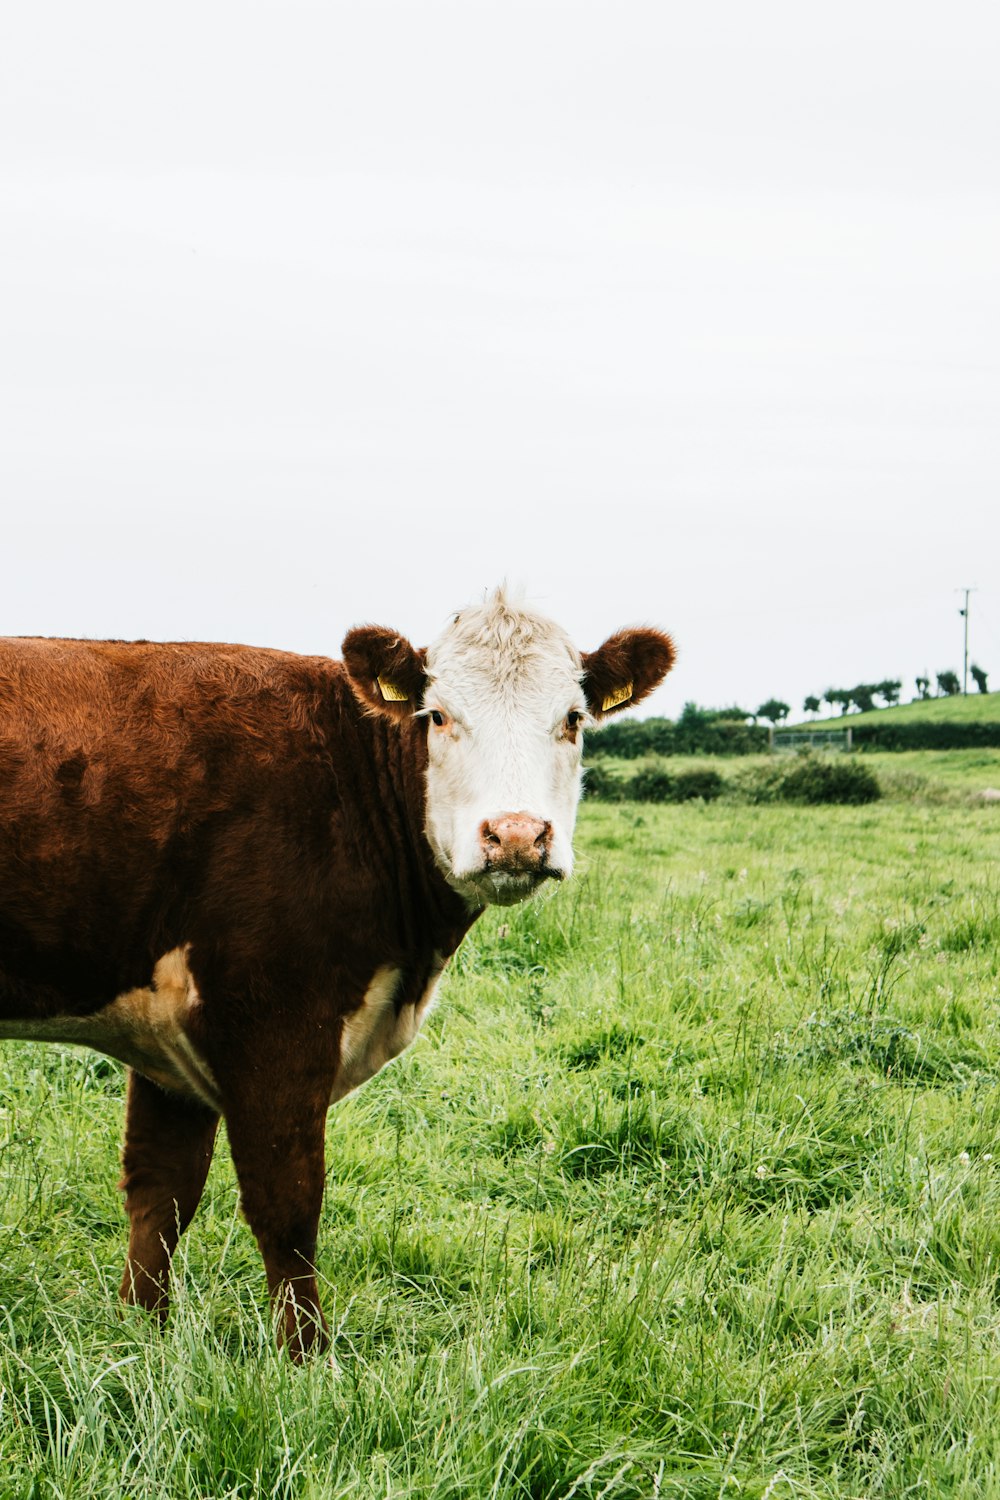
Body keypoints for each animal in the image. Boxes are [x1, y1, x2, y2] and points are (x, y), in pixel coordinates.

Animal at [0, 588, 677, 1362]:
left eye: (572, 719)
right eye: (438, 715)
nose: (514, 835)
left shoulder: (166, 1035)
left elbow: (161, 1192)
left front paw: (141, 1339)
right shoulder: (273, 1016)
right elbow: (288, 1203)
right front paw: (306, 1358)